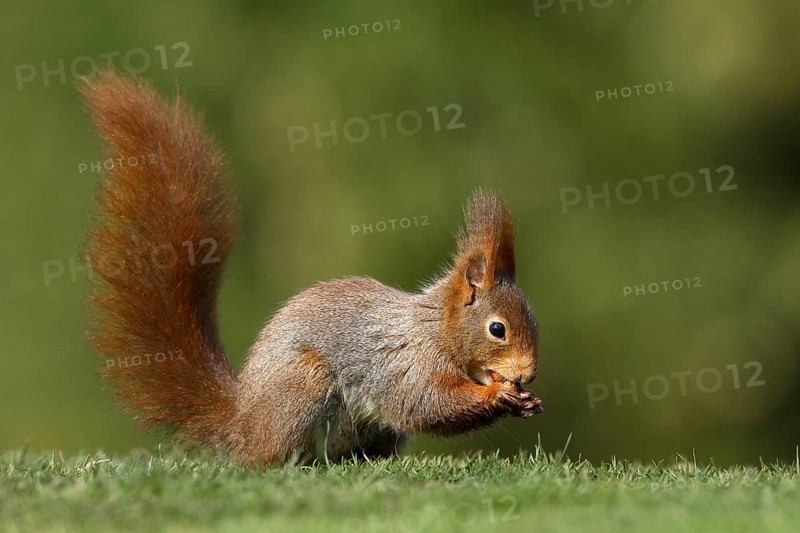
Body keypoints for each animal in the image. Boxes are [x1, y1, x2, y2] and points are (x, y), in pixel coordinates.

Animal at [80, 71, 543, 467]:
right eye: (497, 329)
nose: (529, 374)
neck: (435, 330)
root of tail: (242, 423)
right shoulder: (407, 365)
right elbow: (427, 404)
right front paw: (498, 395)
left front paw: (525, 401)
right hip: (303, 386)